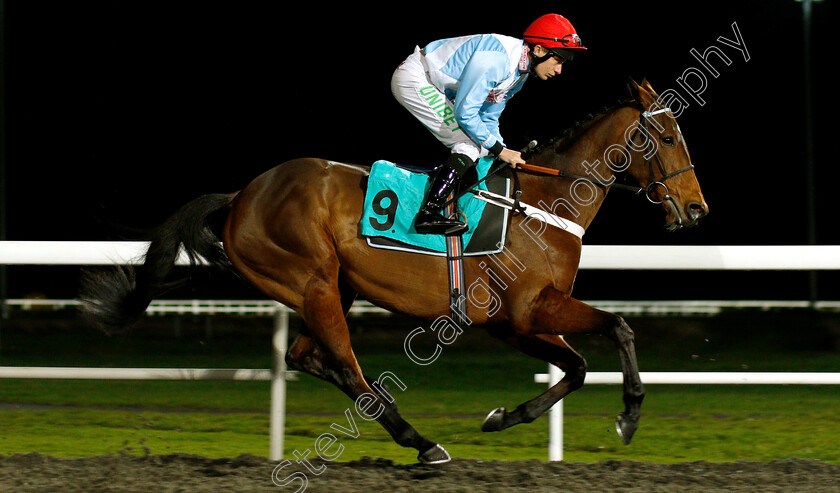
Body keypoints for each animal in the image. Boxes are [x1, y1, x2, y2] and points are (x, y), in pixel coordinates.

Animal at [80, 79, 708, 464]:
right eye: (668, 136)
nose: (697, 209)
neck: (542, 203)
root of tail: (240, 196)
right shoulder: (528, 310)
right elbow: (619, 327)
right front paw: (629, 416)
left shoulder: (517, 323)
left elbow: (576, 368)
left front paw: (502, 417)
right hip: (311, 281)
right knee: (344, 364)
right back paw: (420, 441)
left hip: (333, 287)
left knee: (307, 357)